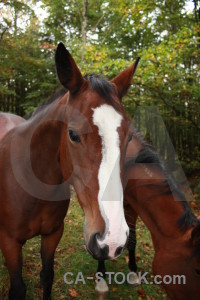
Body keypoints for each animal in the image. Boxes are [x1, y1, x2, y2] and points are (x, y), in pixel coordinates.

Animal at [0, 42, 140, 300]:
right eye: (73, 134)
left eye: (129, 137)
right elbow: (18, 288)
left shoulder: (53, 233)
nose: (111, 239)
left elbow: (47, 276)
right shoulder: (9, 242)